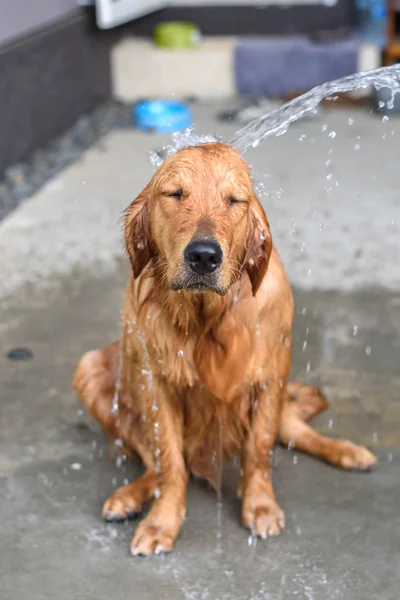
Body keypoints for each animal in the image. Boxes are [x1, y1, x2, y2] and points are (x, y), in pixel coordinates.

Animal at [73, 143, 376, 556]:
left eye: (235, 200)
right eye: (174, 194)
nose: (203, 255)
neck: (206, 316)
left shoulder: (271, 375)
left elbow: (259, 448)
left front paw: (260, 505)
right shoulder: (157, 385)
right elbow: (169, 461)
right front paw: (162, 522)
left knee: (294, 430)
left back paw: (349, 451)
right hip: (89, 367)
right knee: (153, 464)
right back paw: (130, 497)